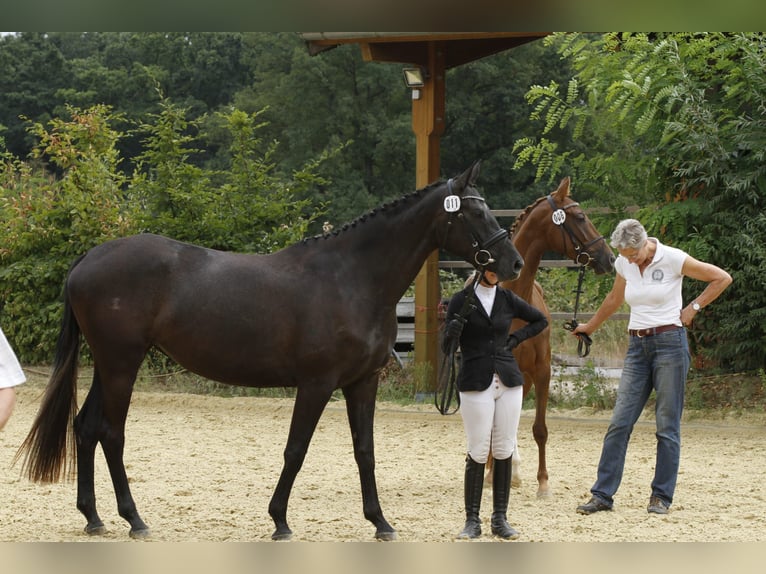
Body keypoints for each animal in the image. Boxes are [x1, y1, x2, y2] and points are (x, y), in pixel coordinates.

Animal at [16, 163, 528, 544]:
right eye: (474, 213)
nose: (514, 262)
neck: (352, 278)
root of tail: (88, 258)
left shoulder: (361, 383)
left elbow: (365, 451)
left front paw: (380, 523)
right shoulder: (317, 383)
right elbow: (295, 450)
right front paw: (280, 521)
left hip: (109, 366)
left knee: (85, 427)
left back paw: (93, 517)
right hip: (122, 364)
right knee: (111, 433)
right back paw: (134, 520)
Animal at [492, 179, 616, 500]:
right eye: (581, 217)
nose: (609, 258)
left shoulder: (542, 370)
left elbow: (540, 429)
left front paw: (543, 484)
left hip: (524, 379)